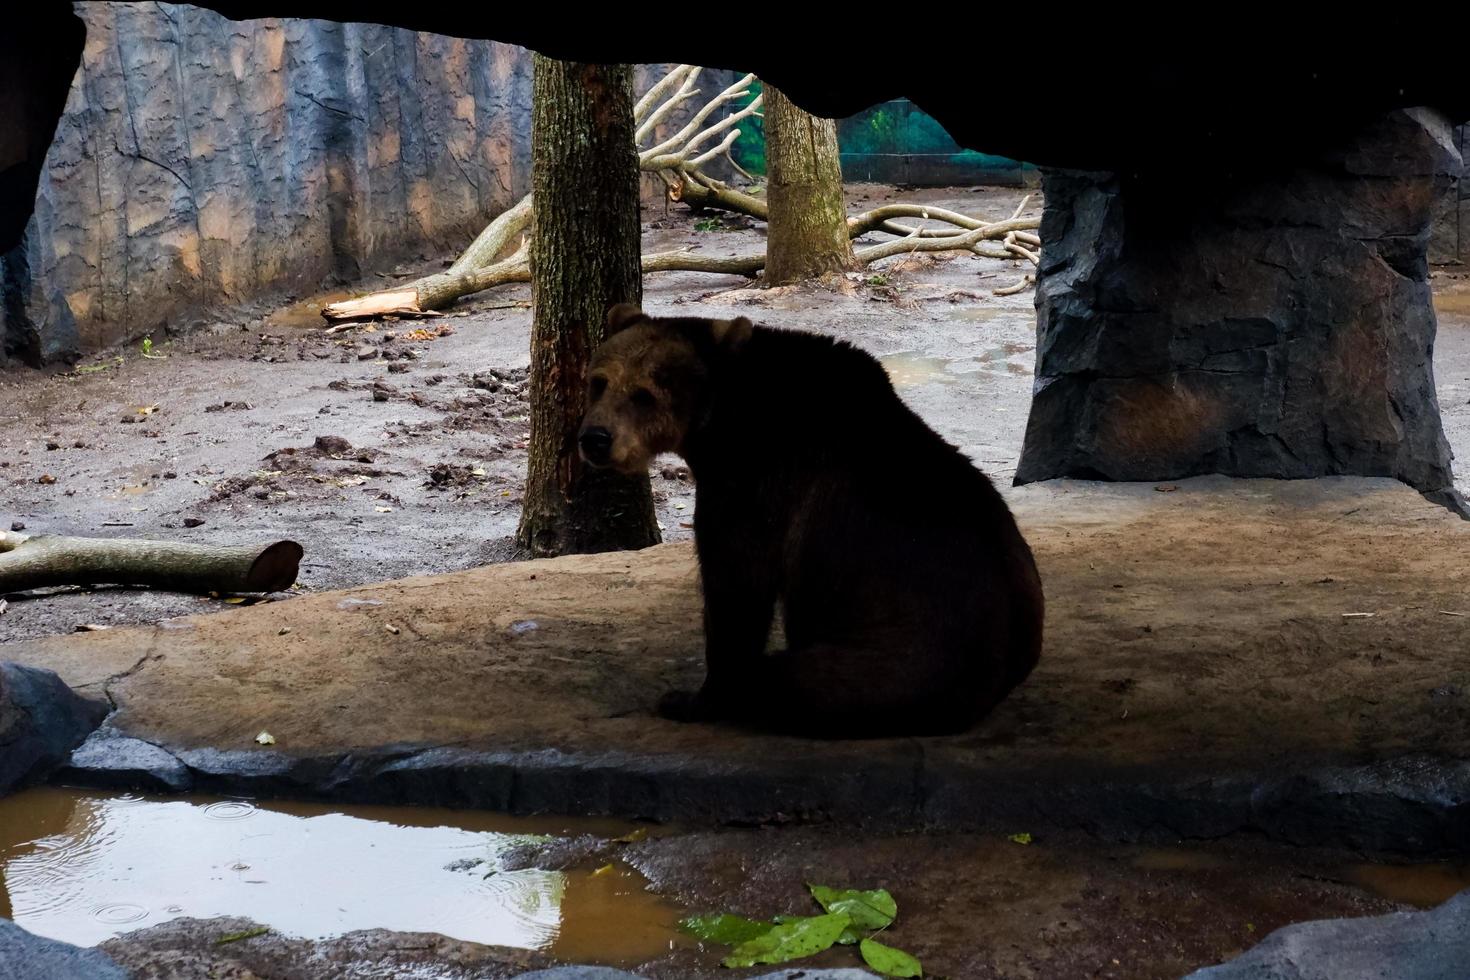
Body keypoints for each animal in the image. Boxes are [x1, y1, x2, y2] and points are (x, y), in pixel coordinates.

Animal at [576, 304, 1046, 734]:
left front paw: (689, 699)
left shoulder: (756, 484)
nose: (595, 439)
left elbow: (736, 588)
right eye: (598, 382)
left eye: (644, 393)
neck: (722, 424)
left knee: (779, 681)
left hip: (892, 660)